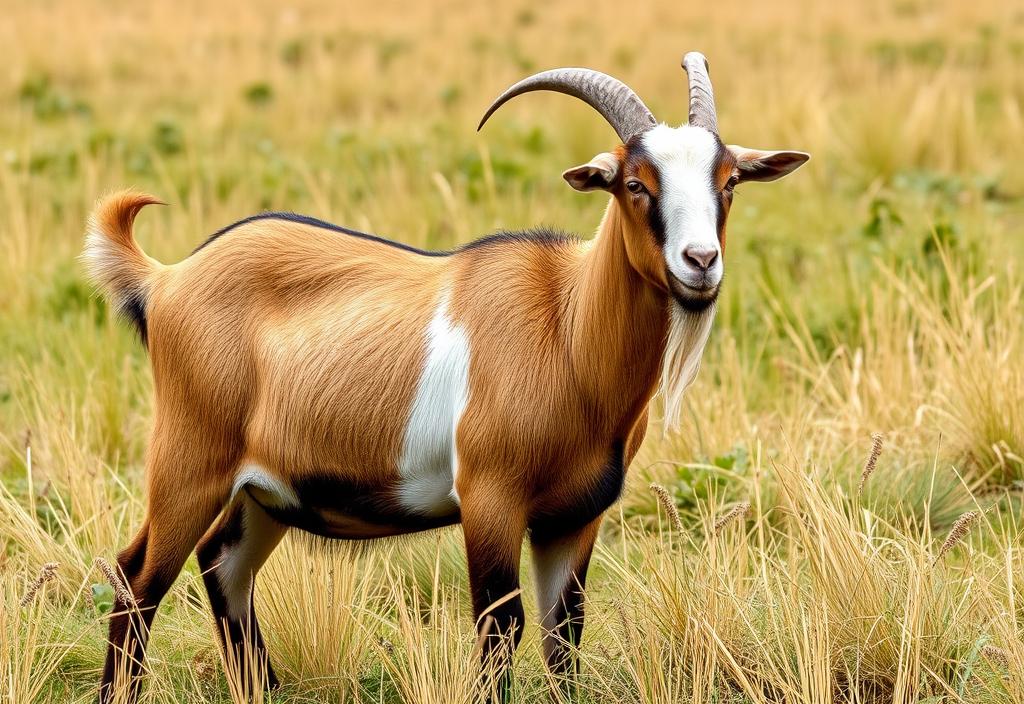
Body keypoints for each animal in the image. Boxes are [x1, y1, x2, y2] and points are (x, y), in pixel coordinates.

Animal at [86, 52, 806, 699]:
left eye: (729, 182)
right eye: (635, 183)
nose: (700, 262)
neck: (566, 325)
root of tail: (165, 279)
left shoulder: (574, 517)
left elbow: (563, 635)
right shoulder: (490, 498)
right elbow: (501, 627)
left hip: (266, 494)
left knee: (222, 566)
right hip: (189, 465)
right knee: (137, 579)